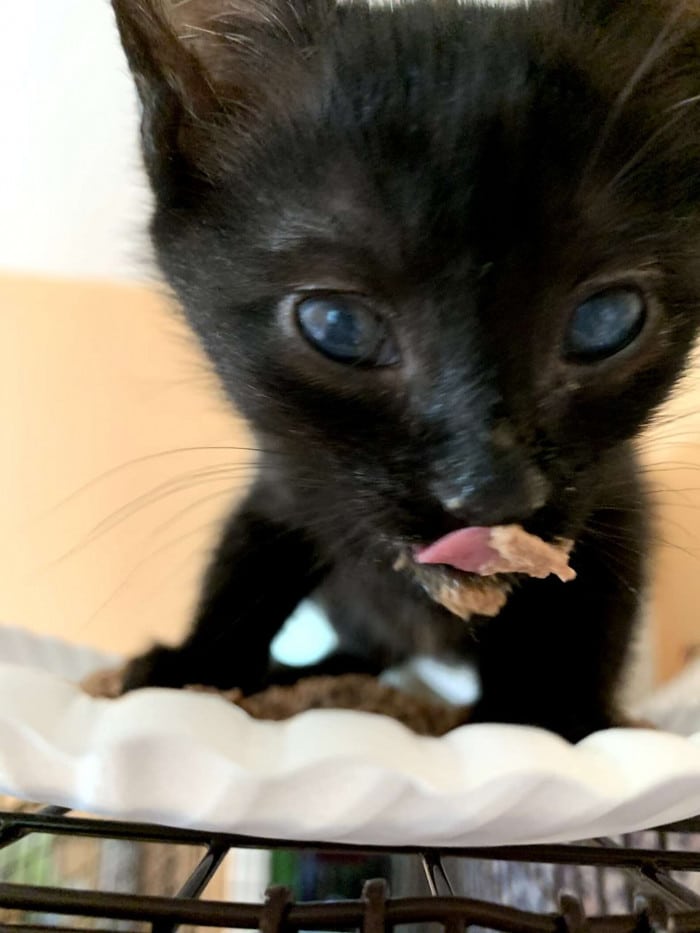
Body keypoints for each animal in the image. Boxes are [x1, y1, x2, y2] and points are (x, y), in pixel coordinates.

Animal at [112, 1, 700, 744]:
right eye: (338, 325)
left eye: (606, 320)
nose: (489, 489)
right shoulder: (289, 481)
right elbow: (247, 560)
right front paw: (197, 663)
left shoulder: (615, 496)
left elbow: (593, 604)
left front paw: (546, 713)